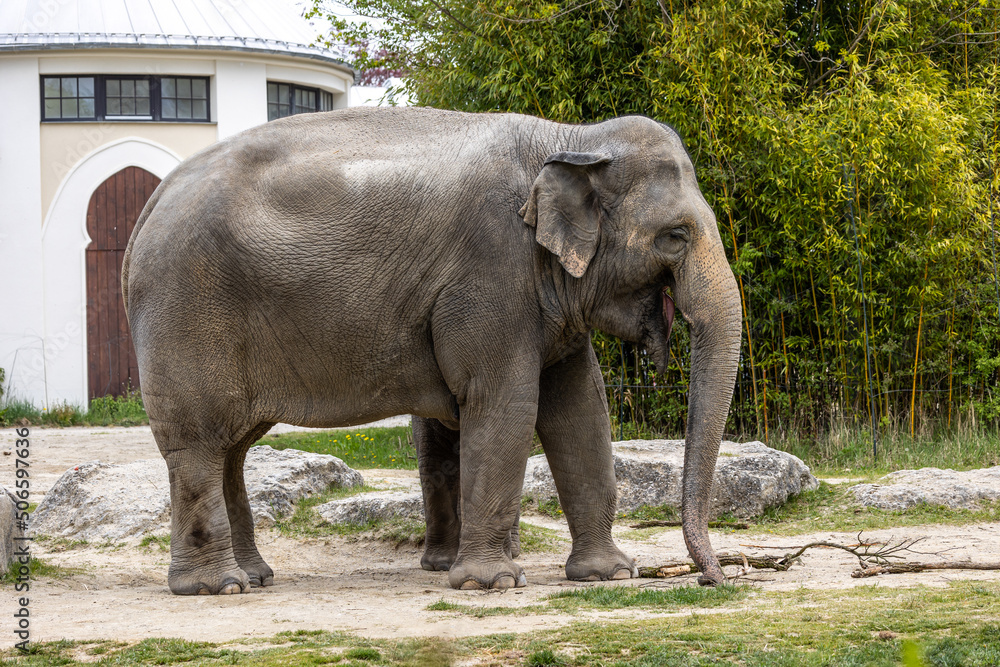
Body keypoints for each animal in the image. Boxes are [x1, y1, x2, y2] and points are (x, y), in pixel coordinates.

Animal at [122, 106, 742, 595]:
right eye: (676, 236)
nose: (714, 577)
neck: (571, 137)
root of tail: (151, 202)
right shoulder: (491, 273)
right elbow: (507, 403)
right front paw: (493, 583)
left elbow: (581, 409)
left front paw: (609, 574)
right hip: (186, 310)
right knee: (199, 439)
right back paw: (216, 587)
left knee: (232, 445)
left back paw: (254, 577)